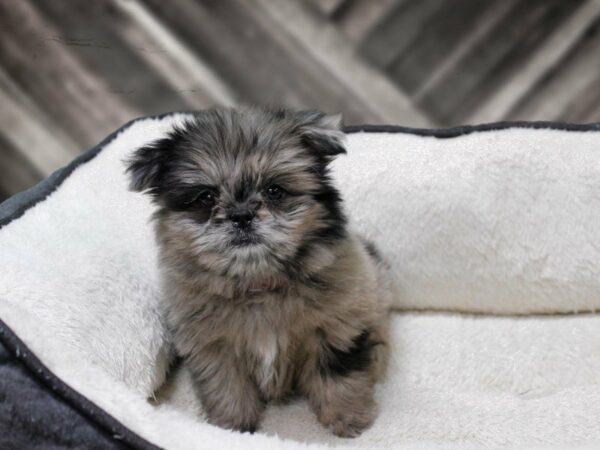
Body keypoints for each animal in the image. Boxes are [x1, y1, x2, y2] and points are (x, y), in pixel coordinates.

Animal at [127, 107, 394, 438]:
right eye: (206, 198)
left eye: (274, 190)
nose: (242, 215)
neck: (258, 283)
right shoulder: (214, 348)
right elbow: (227, 388)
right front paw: (233, 427)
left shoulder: (338, 327)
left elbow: (339, 377)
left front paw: (349, 419)